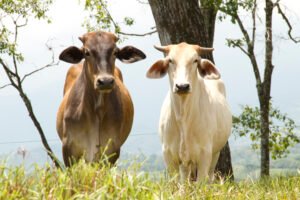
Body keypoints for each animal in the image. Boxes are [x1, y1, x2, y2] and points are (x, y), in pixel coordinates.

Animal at [56, 30, 146, 166]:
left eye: (115, 52)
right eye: (87, 52)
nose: (105, 81)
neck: (96, 113)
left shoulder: (111, 151)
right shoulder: (69, 150)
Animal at [146, 43, 231, 182]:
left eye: (195, 60)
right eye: (170, 60)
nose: (182, 86)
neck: (183, 118)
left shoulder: (204, 155)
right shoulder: (169, 155)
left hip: (215, 154)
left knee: (210, 177)